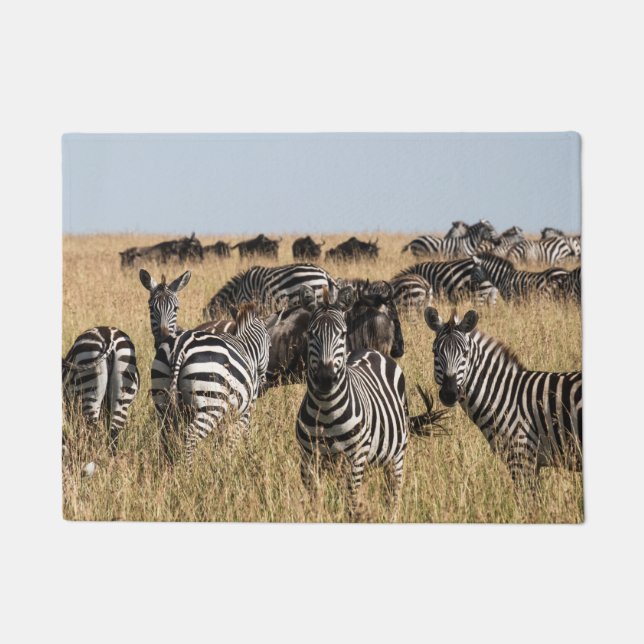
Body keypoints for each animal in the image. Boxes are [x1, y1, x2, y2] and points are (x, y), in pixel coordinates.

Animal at [151, 303, 271, 466]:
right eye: (270, 345)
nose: (263, 383)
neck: (246, 347)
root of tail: (180, 345)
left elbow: (220, 441)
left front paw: (218, 461)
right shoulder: (245, 410)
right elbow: (236, 437)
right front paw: (229, 462)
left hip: (162, 399)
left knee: (165, 436)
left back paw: (167, 467)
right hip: (211, 404)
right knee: (191, 437)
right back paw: (188, 470)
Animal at [295, 285, 446, 518]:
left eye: (342, 333)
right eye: (311, 333)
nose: (326, 378)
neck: (326, 410)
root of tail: (371, 351)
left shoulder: (355, 459)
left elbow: (351, 505)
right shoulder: (308, 461)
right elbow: (315, 506)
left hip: (396, 456)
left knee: (393, 495)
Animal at [424, 308, 582, 487]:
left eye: (465, 353)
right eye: (435, 351)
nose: (449, 394)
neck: (504, 395)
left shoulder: (522, 457)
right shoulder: (530, 462)